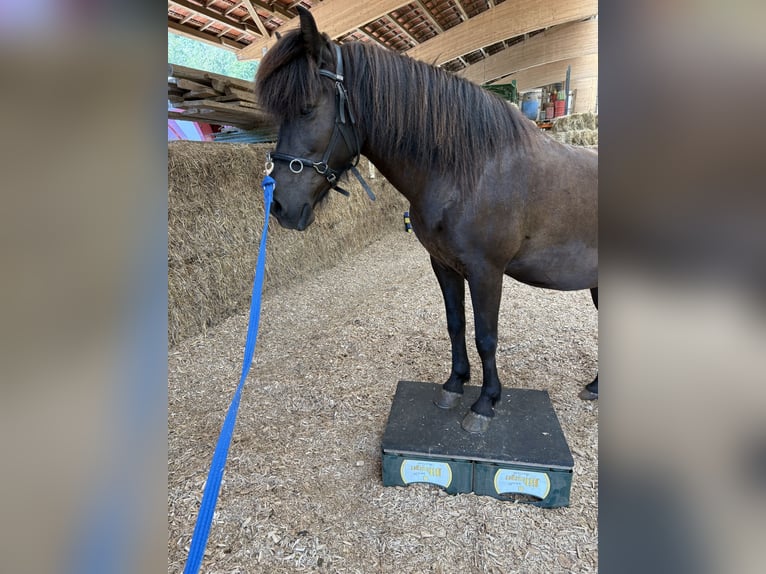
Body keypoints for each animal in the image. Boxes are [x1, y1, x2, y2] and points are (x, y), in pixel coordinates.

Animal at [255, 6, 597, 433]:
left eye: (305, 108)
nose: (280, 206)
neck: (470, 171)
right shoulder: (444, 264)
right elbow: (455, 324)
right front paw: (454, 384)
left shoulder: (487, 272)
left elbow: (486, 336)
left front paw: (485, 403)